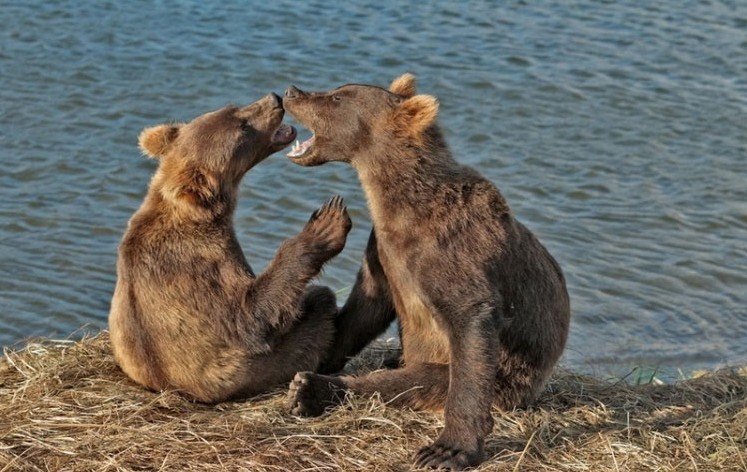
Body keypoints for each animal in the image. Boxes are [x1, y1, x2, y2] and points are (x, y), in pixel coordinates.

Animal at [107, 94, 354, 404]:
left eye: (232, 108)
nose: (274, 100)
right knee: (319, 305)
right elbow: (249, 319)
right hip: (271, 363)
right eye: (243, 129)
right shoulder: (205, 262)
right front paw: (326, 223)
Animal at [284, 75, 568, 470]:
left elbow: (470, 321)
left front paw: (449, 449)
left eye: (337, 97)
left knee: (420, 380)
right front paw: (317, 355)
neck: (398, 204)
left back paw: (313, 390)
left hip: (512, 377)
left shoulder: (452, 251)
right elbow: (365, 307)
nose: (292, 91)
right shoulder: (384, 251)